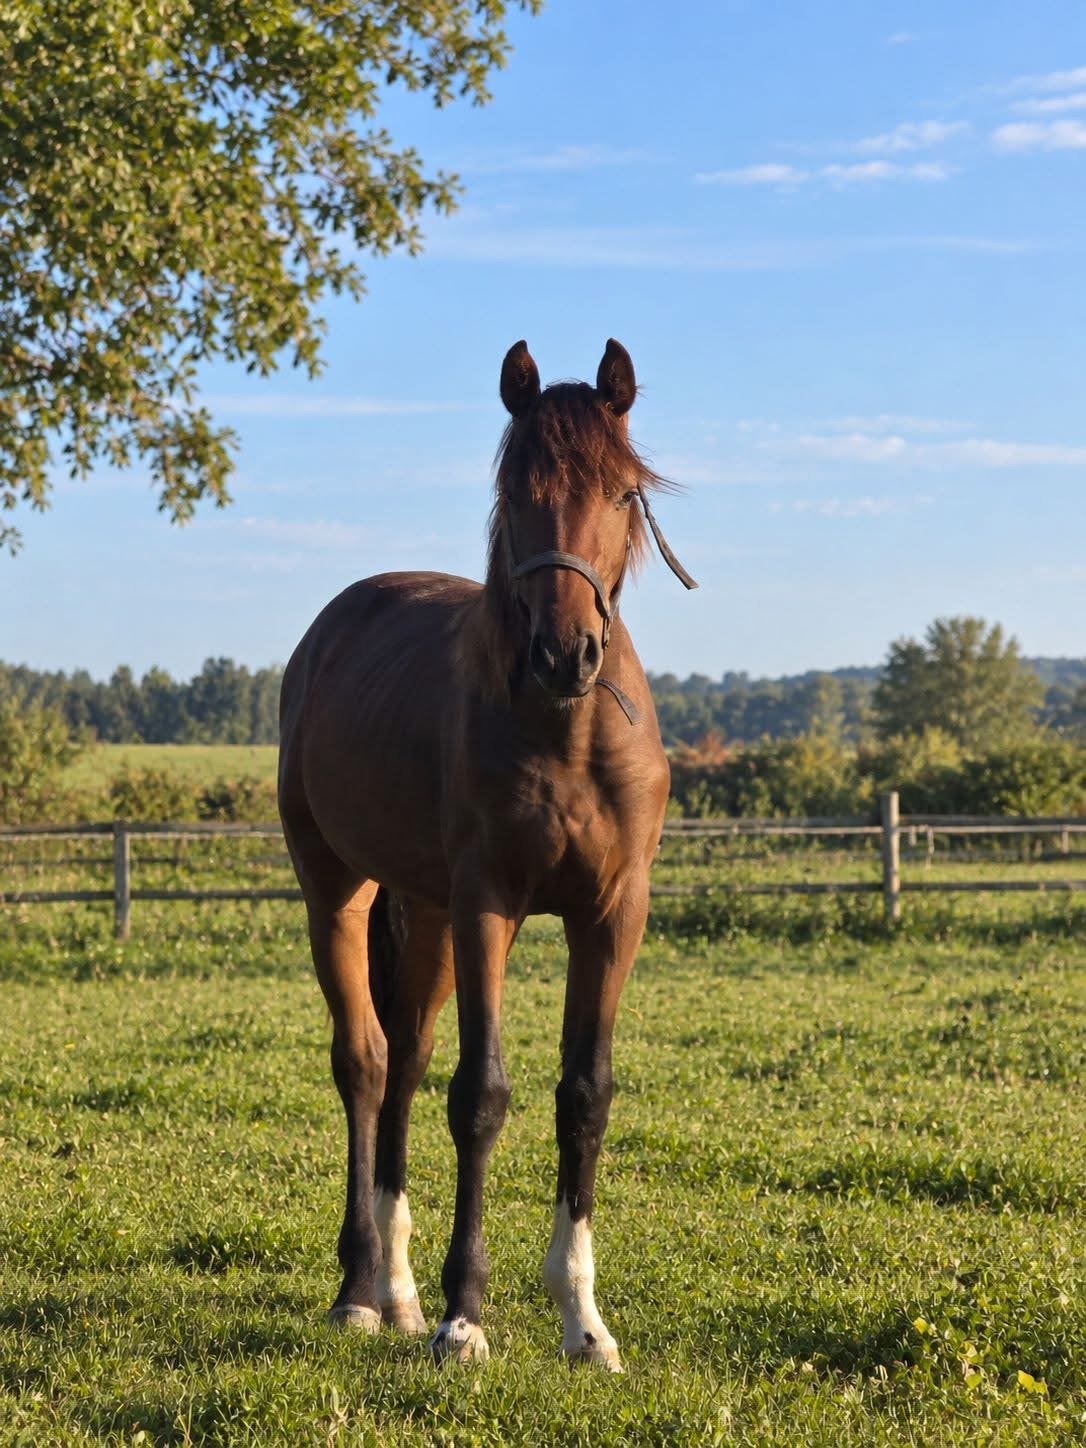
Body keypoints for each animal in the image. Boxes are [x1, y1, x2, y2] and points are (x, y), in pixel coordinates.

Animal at [278, 339, 695, 1371]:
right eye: (516, 491)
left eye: (623, 494)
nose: (565, 652)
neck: (566, 731)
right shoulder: (489, 906)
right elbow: (481, 1096)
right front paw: (464, 1315)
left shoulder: (612, 914)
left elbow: (584, 1095)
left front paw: (584, 1322)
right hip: (338, 893)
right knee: (365, 1063)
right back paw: (360, 1291)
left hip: (424, 916)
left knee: (404, 1061)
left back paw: (396, 1290)